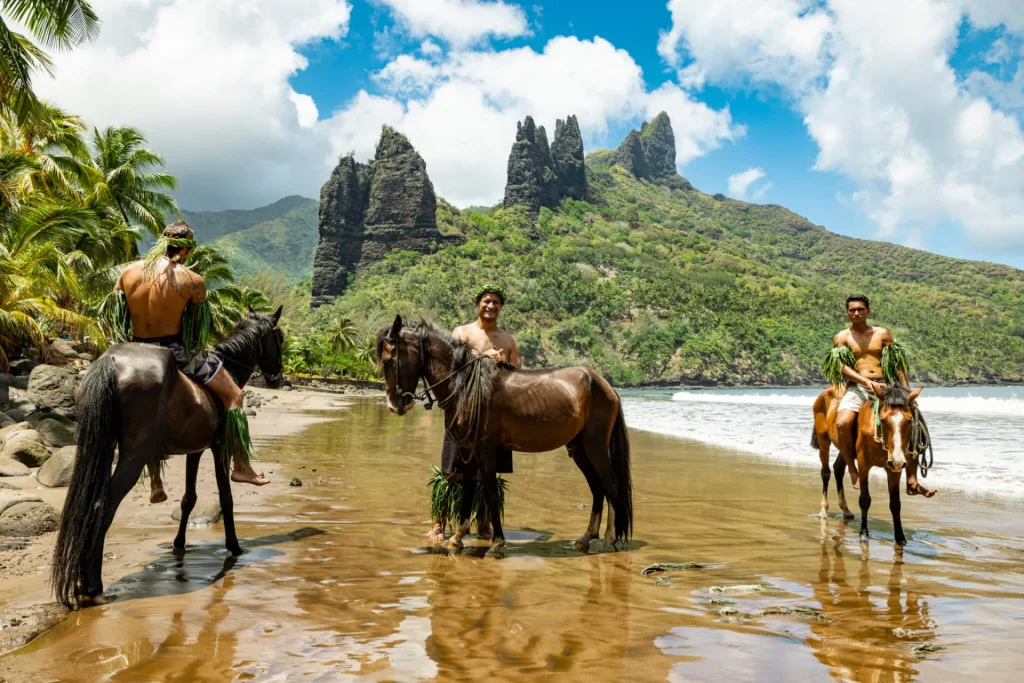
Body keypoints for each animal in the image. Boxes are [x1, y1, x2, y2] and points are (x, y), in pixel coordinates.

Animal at [51, 307, 284, 606]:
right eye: (280, 338)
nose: (279, 378)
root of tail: (110, 360)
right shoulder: (218, 447)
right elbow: (226, 497)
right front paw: (233, 546)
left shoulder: (195, 450)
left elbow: (188, 499)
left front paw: (179, 544)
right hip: (133, 455)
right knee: (103, 506)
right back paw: (93, 585)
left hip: (100, 445)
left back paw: (81, 579)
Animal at [376, 317, 630, 557]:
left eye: (389, 360)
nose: (394, 405)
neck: (467, 385)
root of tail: (603, 384)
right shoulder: (468, 450)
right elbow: (468, 490)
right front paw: (457, 538)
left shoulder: (485, 449)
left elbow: (489, 493)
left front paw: (497, 544)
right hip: (579, 449)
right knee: (597, 488)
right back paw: (586, 538)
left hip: (595, 446)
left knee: (611, 485)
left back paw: (610, 540)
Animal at [811, 382, 925, 548]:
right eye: (883, 420)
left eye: (910, 420)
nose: (898, 460)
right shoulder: (863, 462)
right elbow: (865, 499)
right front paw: (864, 533)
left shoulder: (893, 467)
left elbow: (895, 503)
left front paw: (900, 537)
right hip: (823, 439)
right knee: (825, 472)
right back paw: (823, 510)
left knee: (839, 468)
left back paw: (846, 509)